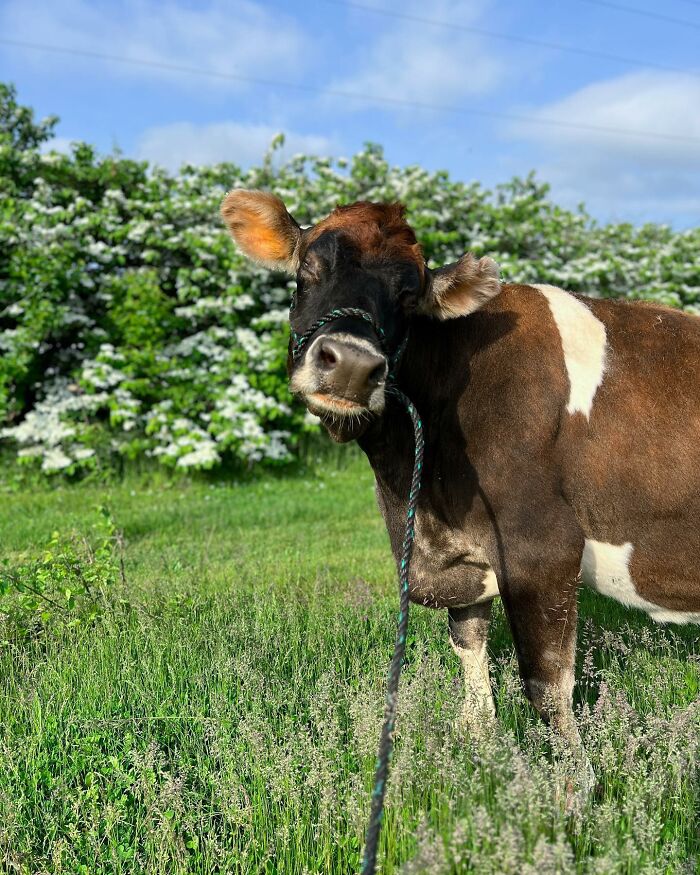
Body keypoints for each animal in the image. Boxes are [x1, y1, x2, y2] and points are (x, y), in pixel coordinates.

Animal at [220, 192, 700, 800]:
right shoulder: (460, 553)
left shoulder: (541, 548)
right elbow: (468, 640)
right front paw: (477, 741)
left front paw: (572, 789)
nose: (351, 364)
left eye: (408, 297)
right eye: (309, 268)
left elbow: (546, 684)